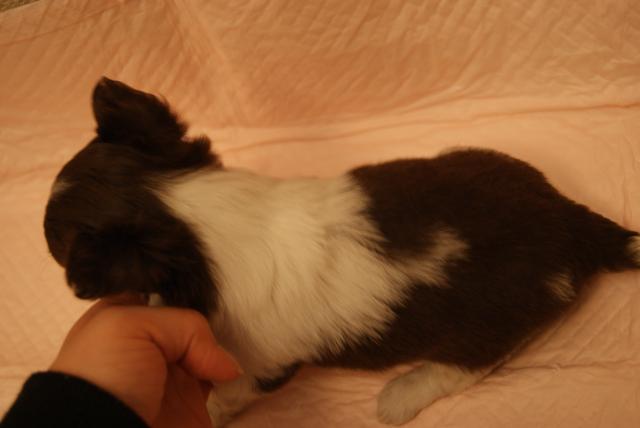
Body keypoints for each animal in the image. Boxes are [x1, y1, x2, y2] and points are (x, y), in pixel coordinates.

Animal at [44, 77, 640, 426]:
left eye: (56, 242)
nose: (43, 235)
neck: (192, 212)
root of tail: (570, 221)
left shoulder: (258, 363)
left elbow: (230, 394)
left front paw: (208, 410)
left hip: (487, 328)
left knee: (467, 367)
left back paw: (399, 396)